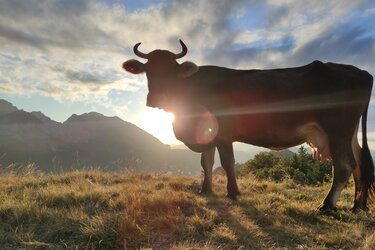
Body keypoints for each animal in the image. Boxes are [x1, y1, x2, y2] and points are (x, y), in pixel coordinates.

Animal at [122, 40, 374, 212]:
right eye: (148, 70)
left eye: (172, 71)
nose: (156, 98)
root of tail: (361, 72)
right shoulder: (206, 135)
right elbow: (206, 162)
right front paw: (206, 190)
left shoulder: (223, 133)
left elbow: (227, 163)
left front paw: (233, 193)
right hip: (347, 133)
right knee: (359, 163)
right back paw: (356, 206)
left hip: (338, 128)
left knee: (344, 165)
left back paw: (328, 204)